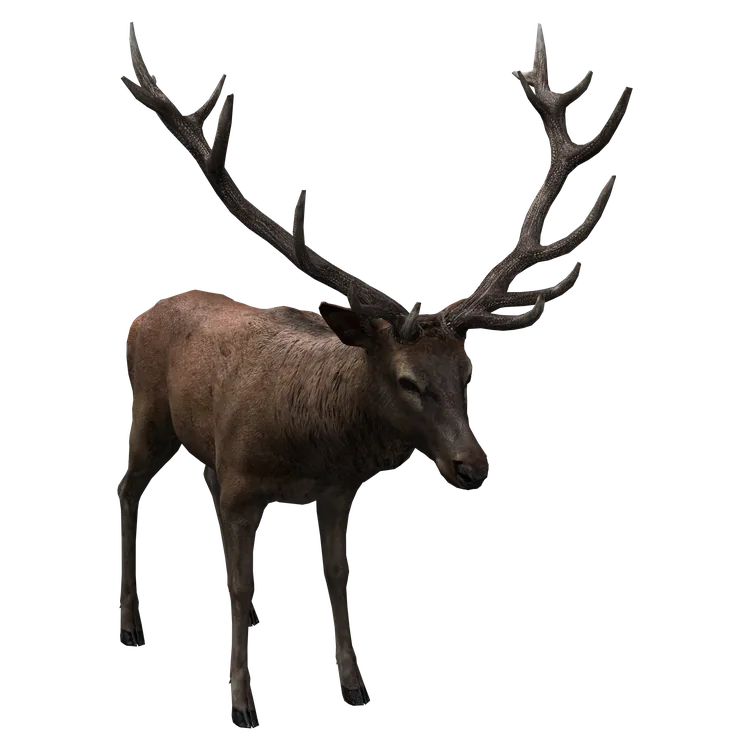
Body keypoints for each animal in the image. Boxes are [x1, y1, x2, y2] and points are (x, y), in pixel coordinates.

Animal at [116, 18, 632, 729]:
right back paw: (130, 622)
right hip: (147, 416)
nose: (475, 464)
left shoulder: (336, 493)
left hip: (204, 451)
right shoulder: (245, 481)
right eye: (408, 379)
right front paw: (241, 701)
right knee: (128, 490)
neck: (309, 446)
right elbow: (243, 579)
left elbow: (338, 579)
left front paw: (355, 685)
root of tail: (140, 315)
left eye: (469, 372)